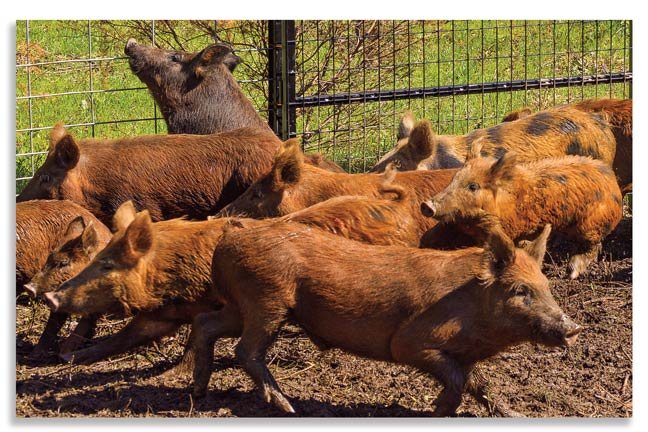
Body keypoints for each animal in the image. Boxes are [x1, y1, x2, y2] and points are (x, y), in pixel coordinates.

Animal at [190, 214, 581, 416]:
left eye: (546, 285)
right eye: (521, 291)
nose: (573, 327)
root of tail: (226, 241)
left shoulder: (464, 355)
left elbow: (478, 383)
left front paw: (514, 415)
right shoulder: (411, 343)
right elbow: (456, 382)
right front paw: (437, 412)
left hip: (240, 305)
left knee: (205, 325)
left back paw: (198, 391)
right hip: (267, 301)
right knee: (246, 350)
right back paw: (287, 407)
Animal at [420, 143, 623, 279]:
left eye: (473, 186)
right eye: (454, 178)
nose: (427, 205)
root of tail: (613, 182)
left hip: (592, 223)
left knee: (592, 246)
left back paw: (570, 273)